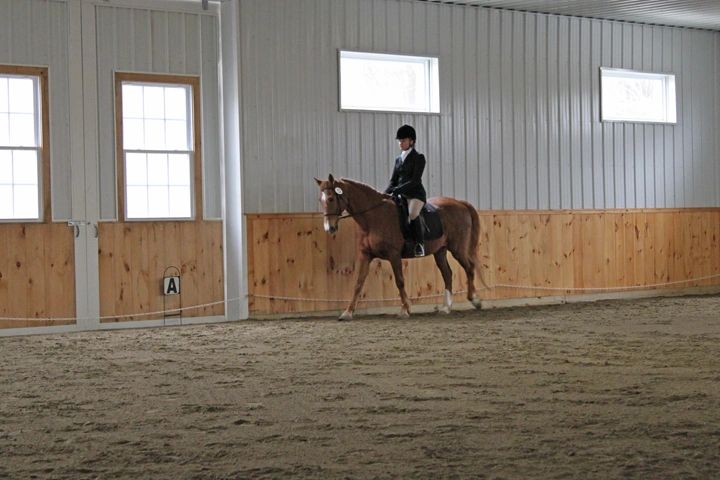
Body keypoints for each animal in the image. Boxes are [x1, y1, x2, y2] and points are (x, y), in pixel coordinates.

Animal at [314, 174, 486, 320]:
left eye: (331, 199)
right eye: (320, 200)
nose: (329, 228)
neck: (373, 218)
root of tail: (460, 203)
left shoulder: (394, 255)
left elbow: (399, 281)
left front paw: (405, 309)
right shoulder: (365, 255)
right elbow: (358, 283)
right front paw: (348, 312)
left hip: (457, 248)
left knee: (469, 267)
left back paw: (475, 300)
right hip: (440, 251)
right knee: (448, 274)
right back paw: (446, 308)